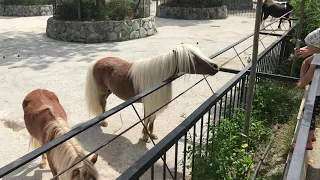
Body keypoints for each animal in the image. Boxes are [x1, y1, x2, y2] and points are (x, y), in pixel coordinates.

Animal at [84, 43, 220, 142]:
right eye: (192, 58)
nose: (215, 66)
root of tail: (97, 61)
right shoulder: (148, 103)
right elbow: (147, 118)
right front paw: (145, 137)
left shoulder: (153, 103)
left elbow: (151, 120)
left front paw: (151, 135)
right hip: (102, 90)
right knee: (102, 102)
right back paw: (104, 121)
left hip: (109, 90)